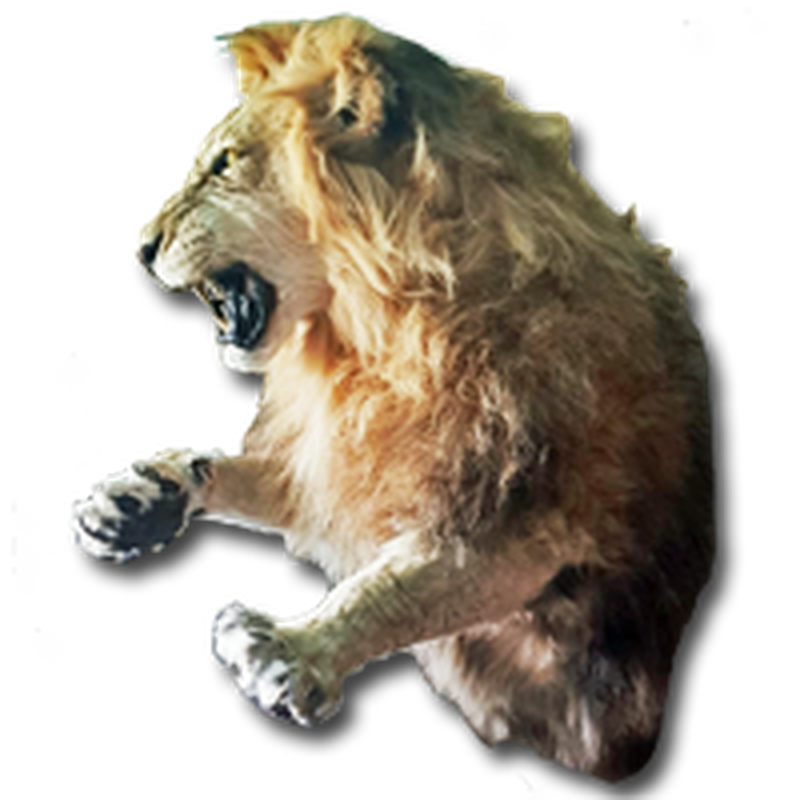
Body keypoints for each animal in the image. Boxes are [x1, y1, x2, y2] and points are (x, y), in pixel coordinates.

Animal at [68, 13, 715, 782]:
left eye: (225, 164)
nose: (140, 247)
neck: (384, 340)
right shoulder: (347, 460)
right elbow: (273, 483)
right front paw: (140, 501)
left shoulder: (528, 507)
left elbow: (404, 584)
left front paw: (295, 651)